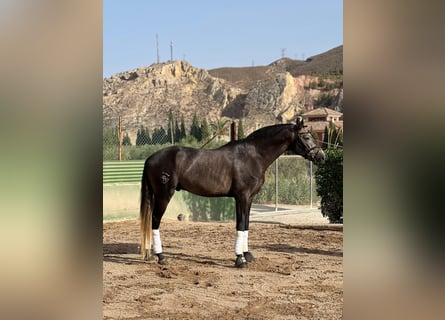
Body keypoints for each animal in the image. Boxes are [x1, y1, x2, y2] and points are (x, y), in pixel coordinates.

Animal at [139, 117, 322, 268]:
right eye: (306, 136)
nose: (321, 156)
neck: (253, 155)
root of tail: (150, 159)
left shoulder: (249, 199)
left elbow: (246, 224)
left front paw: (247, 255)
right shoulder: (242, 197)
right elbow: (240, 225)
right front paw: (240, 259)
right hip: (164, 195)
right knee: (155, 221)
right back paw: (161, 256)